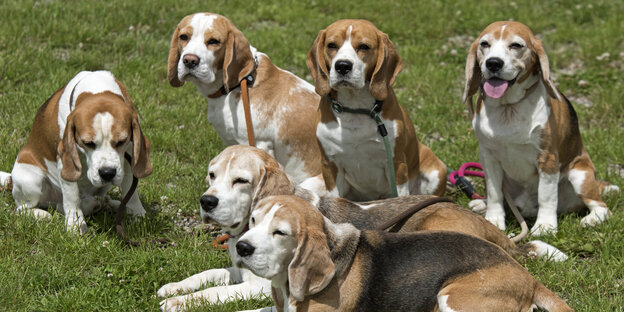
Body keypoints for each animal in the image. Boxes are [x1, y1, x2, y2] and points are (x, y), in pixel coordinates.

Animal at [0, 71, 152, 234]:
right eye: (88, 143)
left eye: (121, 141)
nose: (107, 173)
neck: (97, 88)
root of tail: (11, 179)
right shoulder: (66, 162)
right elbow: (72, 197)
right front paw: (75, 225)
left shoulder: (128, 156)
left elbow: (131, 190)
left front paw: (137, 214)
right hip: (31, 180)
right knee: (23, 209)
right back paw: (42, 214)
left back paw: (107, 204)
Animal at [308, 20, 448, 200]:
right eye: (331, 45)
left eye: (364, 46)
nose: (342, 66)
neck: (356, 109)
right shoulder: (329, 165)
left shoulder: (396, 164)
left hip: (437, 172)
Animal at [464, 20, 620, 235]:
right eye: (484, 44)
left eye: (516, 45)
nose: (493, 63)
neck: (509, 107)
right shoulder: (488, 157)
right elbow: (495, 193)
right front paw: (493, 220)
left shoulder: (548, 159)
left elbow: (546, 196)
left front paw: (545, 226)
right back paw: (482, 204)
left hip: (580, 175)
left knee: (602, 207)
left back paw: (590, 220)